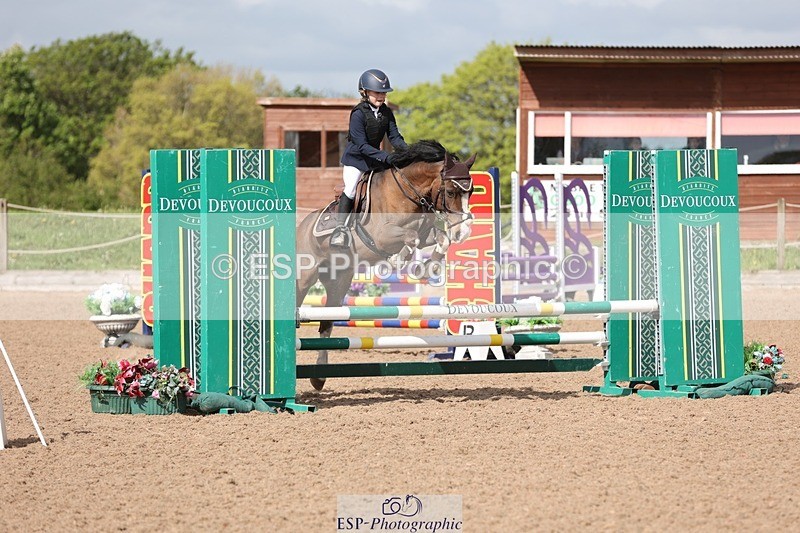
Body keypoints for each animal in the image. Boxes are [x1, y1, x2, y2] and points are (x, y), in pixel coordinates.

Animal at [296, 140, 477, 390]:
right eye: (450, 191)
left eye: (471, 191)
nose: (464, 232)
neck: (409, 193)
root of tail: (301, 227)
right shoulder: (383, 236)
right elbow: (411, 238)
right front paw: (398, 259)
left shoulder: (427, 231)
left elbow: (441, 239)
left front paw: (428, 268)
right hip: (305, 277)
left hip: (338, 283)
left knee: (326, 325)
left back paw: (319, 377)